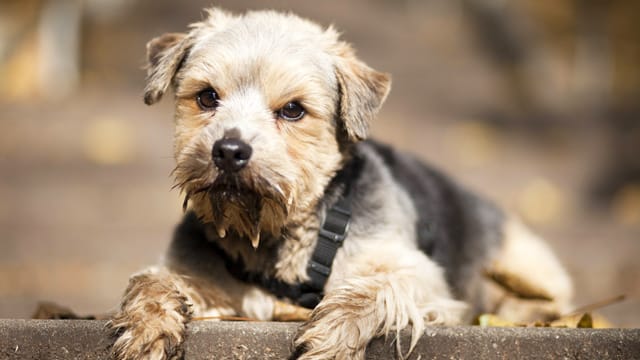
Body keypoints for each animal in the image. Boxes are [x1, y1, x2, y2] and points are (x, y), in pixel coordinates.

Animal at [107, 8, 572, 360]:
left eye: (293, 110)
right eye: (206, 97)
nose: (229, 150)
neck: (273, 237)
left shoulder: (425, 280)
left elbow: (375, 287)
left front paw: (336, 331)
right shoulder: (206, 280)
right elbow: (151, 280)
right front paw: (146, 326)